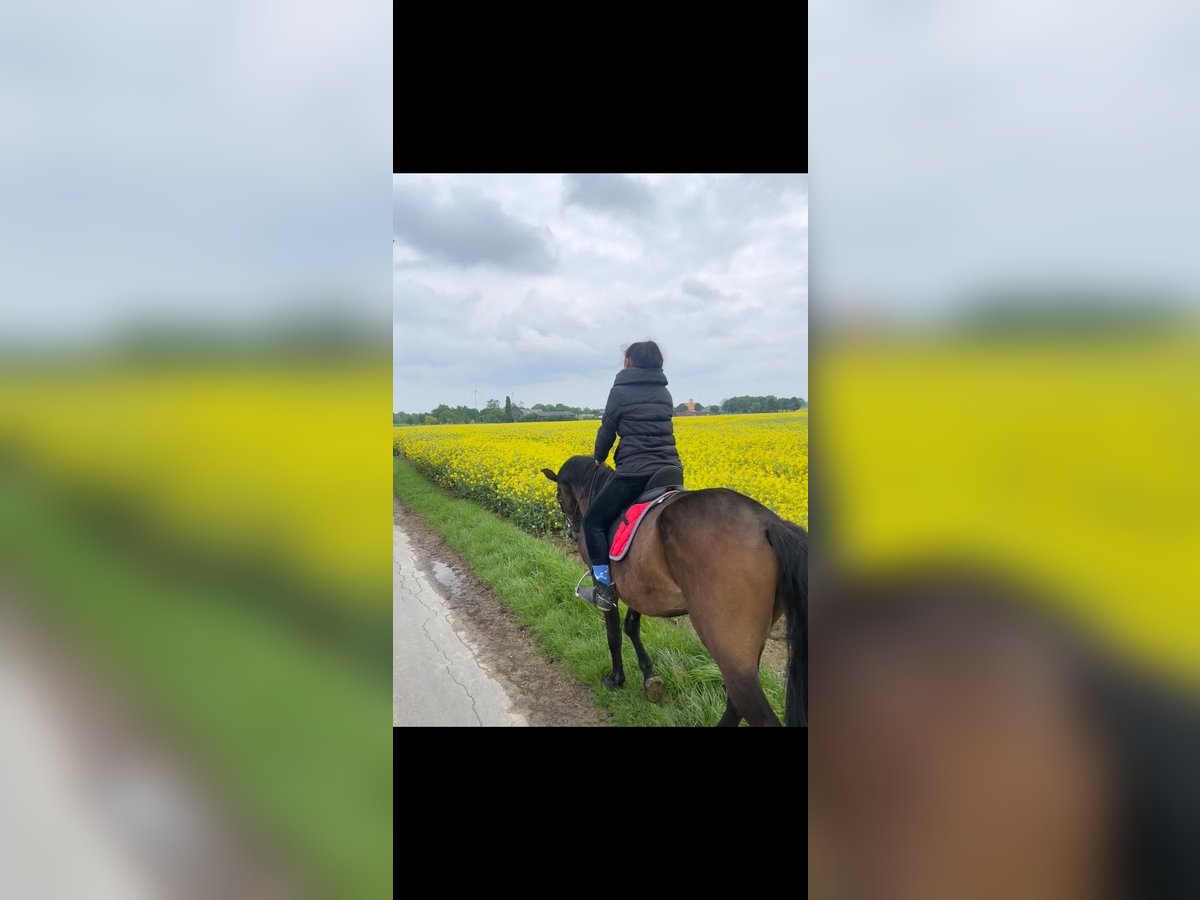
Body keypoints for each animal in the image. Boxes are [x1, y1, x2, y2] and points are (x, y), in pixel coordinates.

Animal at [542, 453, 806, 729]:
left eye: (559, 495)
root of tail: (769, 524)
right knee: (735, 705)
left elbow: (613, 635)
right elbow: (631, 627)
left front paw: (616, 679)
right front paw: (649, 677)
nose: (572, 531)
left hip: (730, 650)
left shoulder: (605, 586)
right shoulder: (638, 587)